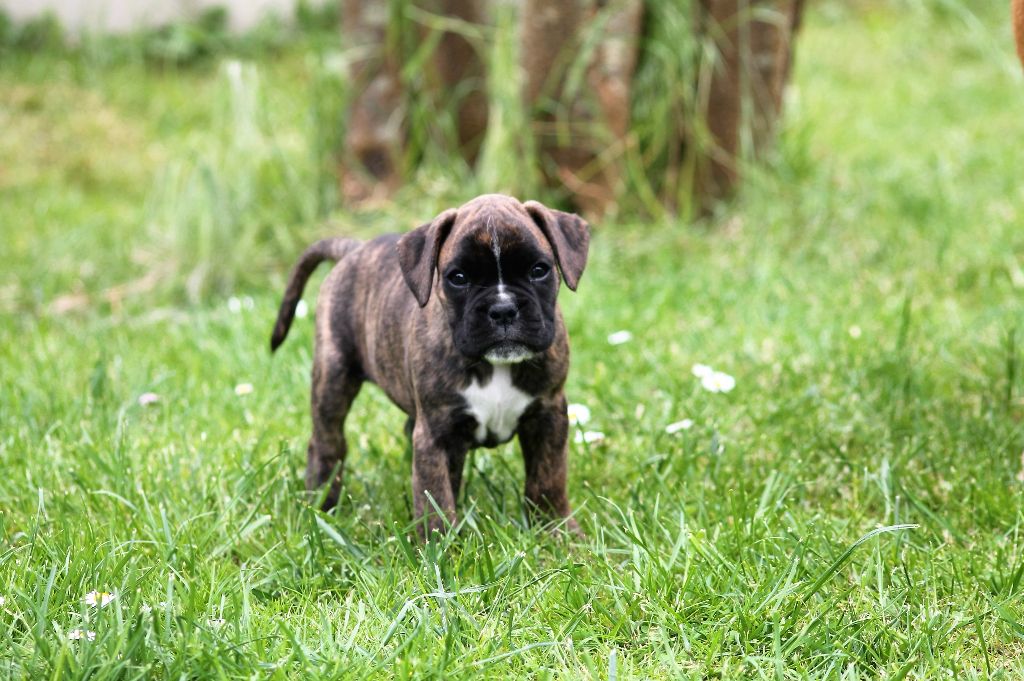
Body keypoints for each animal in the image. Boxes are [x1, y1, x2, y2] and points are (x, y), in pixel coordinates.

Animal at [270, 192, 593, 536]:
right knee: (326, 442)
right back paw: (322, 504)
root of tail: (354, 249)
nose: (503, 309)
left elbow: (548, 478)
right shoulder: (437, 435)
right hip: (333, 378)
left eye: (539, 269)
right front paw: (440, 545)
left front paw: (557, 531)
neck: (493, 365)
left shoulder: (548, 416)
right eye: (458, 278)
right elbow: (435, 494)